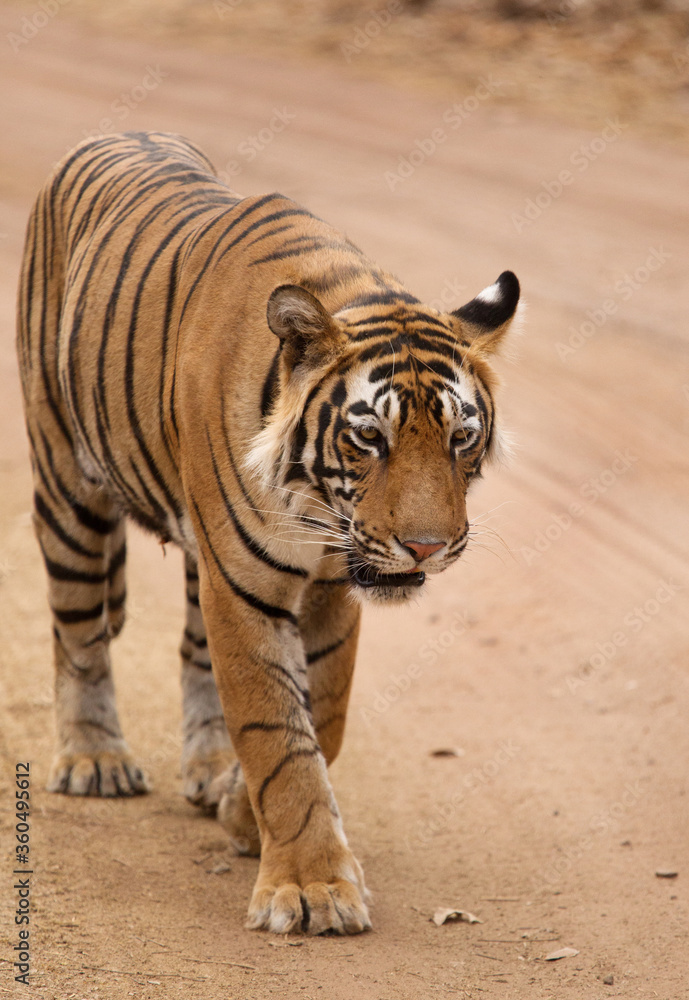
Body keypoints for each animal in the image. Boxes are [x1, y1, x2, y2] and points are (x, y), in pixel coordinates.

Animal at [16, 131, 520, 936]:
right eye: (369, 438)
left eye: (461, 438)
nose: (427, 548)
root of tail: (112, 134)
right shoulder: (245, 586)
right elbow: (278, 736)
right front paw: (312, 889)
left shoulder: (330, 588)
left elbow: (323, 721)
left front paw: (239, 808)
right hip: (68, 484)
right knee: (79, 631)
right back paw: (95, 759)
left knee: (190, 649)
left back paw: (206, 770)